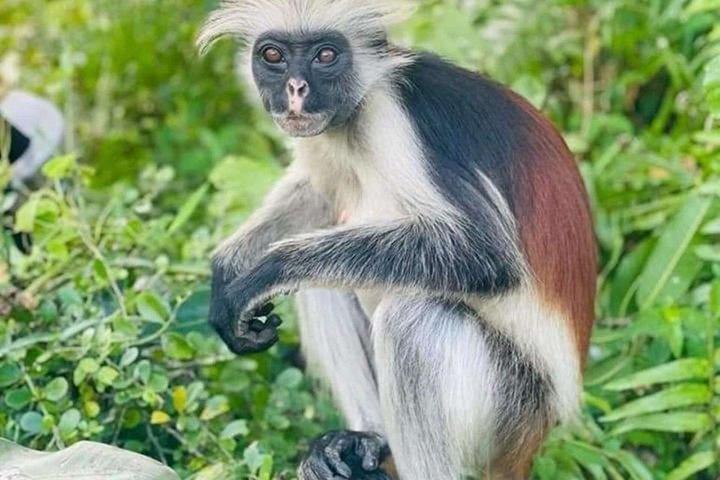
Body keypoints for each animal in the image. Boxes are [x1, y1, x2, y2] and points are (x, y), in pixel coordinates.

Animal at [198, 1, 597, 479]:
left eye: (326, 55)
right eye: (273, 56)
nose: (295, 89)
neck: (355, 118)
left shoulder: (395, 116)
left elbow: (484, 254)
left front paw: (267, 269)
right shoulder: (322, 134)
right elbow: (320, 193)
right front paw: (227, 268)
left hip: (514, 405)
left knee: (413, 319)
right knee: (324, 282)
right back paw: (365, 439)